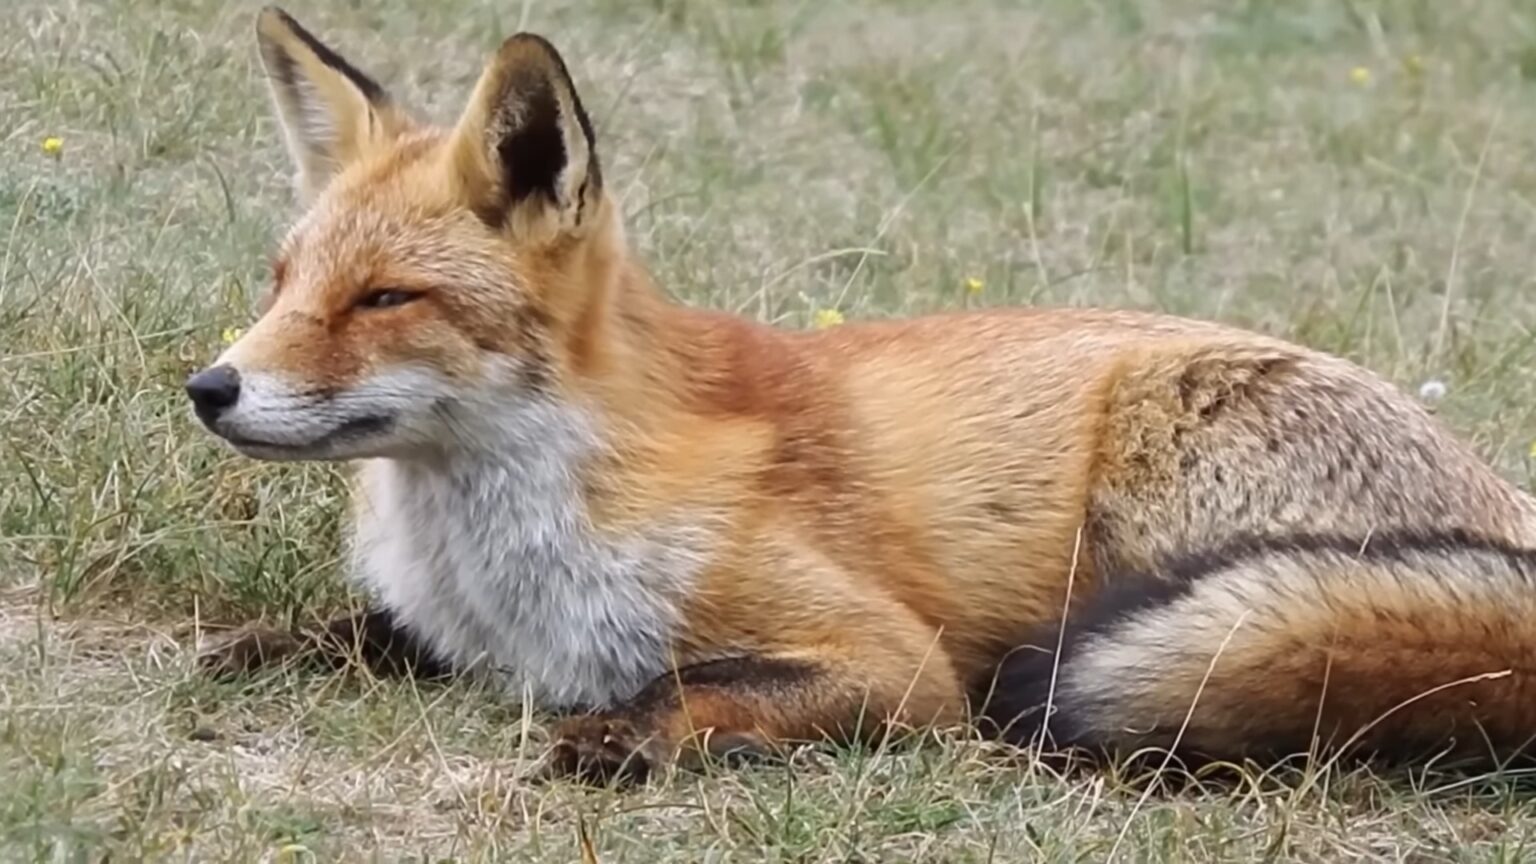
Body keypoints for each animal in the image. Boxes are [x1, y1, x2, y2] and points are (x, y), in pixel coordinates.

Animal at [189, 6, 1536, 782]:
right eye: (285, 280)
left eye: (386, 299)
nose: (211, 388)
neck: (499, 561)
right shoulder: (451, 631)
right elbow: (359, 634)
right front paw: (268, 642)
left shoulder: (897, 666)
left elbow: (693, 686)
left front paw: (619, 733)